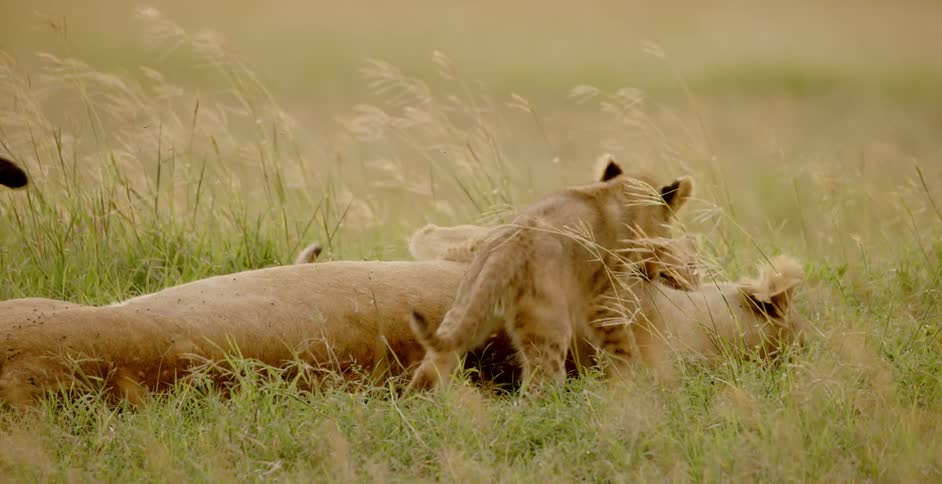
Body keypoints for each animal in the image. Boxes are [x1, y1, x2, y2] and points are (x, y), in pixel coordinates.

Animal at [407, 158, 694, 393]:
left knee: (432, 367)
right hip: (548, 325)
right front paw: (633, 378)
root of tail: (505, 249)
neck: (619, 191)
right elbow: (621, 343)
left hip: (462, 310)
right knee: (540, 384)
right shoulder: (603, 297)